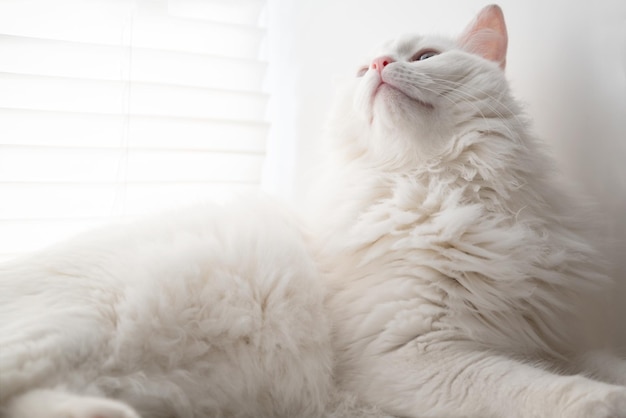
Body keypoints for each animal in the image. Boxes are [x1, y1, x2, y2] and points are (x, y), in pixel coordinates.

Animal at [306, 3, 624, 418]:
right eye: (362, 72)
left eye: (425, 57)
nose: (379, 64)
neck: (441, 187)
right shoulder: (412, 352)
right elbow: (551, 391)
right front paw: (610, 400)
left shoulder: (551, 341)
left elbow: (606, 364)